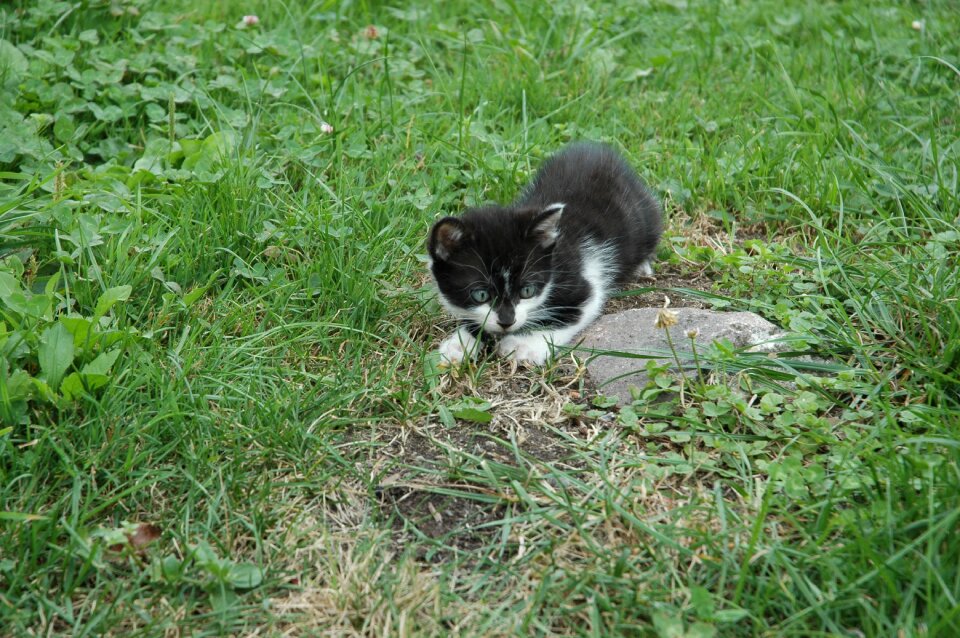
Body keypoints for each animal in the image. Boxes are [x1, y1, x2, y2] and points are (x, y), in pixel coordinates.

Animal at [426, 143, 660, 368]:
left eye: (527, 291)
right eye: (481, 294)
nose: (507, 321)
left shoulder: (584, 284)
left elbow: (569, 316)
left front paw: (524, 346)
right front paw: (461, 343)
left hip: (647, 217)